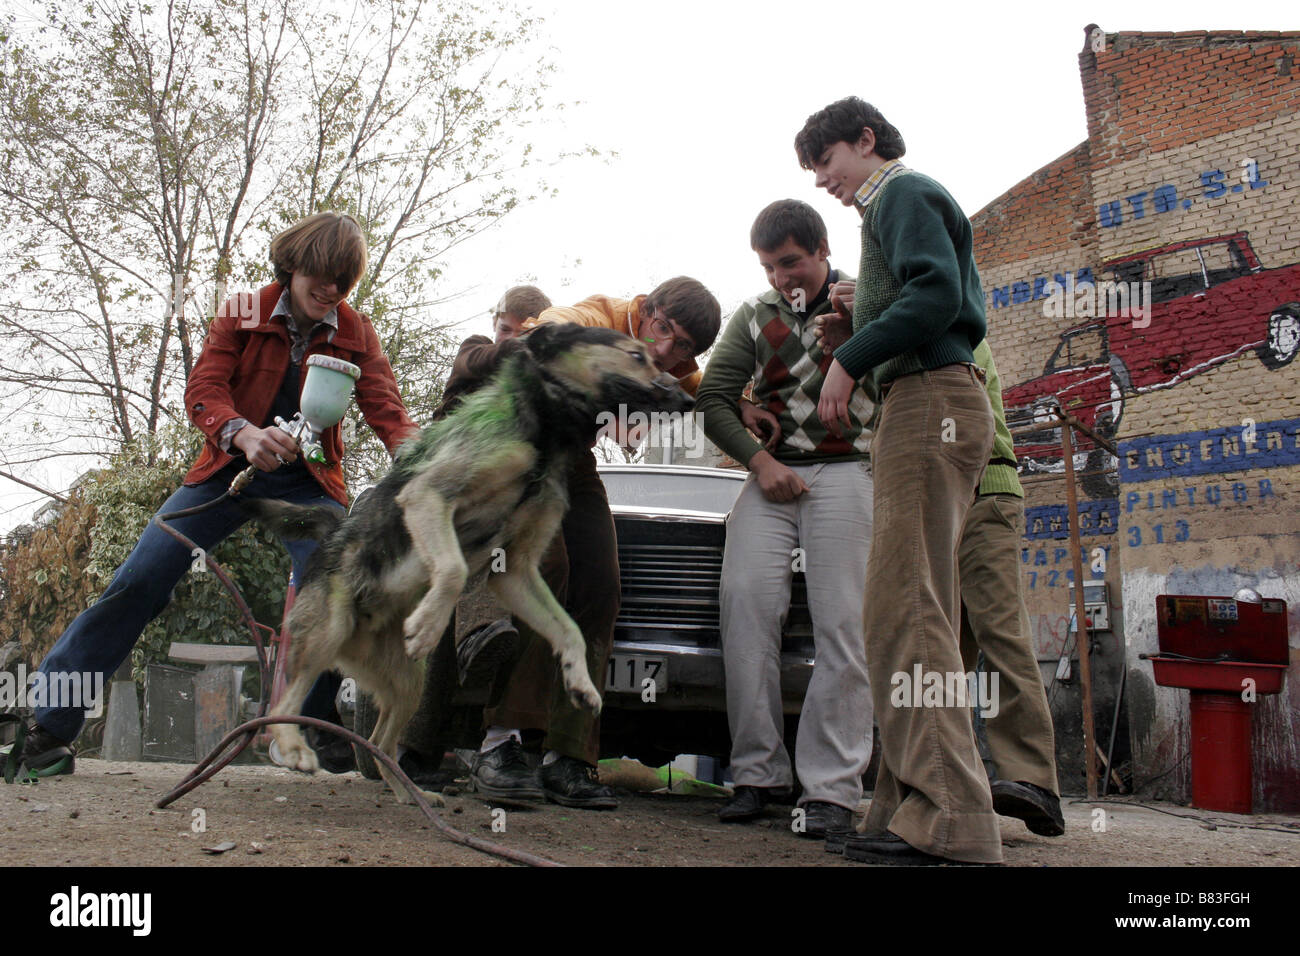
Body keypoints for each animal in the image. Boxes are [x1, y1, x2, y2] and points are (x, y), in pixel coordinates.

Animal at [254, 321, 702, 801]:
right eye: (637, 356)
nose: (689, 400)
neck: (545, 433)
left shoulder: (518, 571)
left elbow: (569, 629)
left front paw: (579, 681)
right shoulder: (428, 495)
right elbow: (452, 570)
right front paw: (427, 623)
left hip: (407, 683)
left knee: (379, 740)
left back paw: (410, 793)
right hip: (329, 630)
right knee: (283, 704)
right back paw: (294, 748)